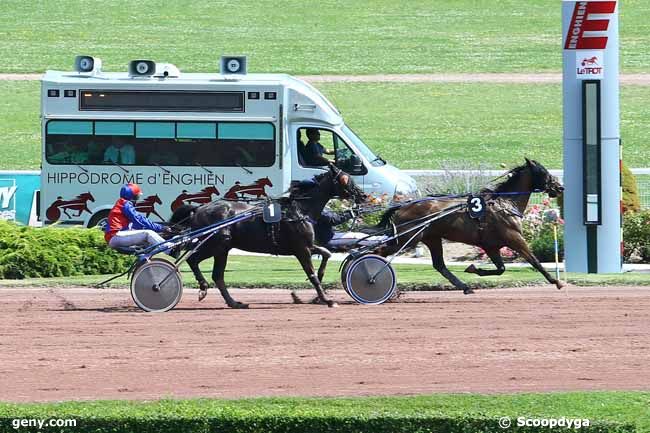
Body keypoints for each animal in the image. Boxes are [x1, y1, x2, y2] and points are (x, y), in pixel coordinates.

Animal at [170, 165, 368, 308]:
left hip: (222, 249)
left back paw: (234, 303)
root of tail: (198, 209)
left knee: (218, 275)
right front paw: (327, 300)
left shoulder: (305, 246)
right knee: (193, 260)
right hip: (215, 244)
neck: (300, 211)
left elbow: (326, 254)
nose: (363, 195)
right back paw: (203, 287)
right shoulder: (301, 249)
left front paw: (320, 288)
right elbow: (311, 274)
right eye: (346, 179)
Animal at [372, 159, 564, 294]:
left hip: (431, 238)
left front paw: (473, 268)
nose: (560, 187)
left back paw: (465, 287)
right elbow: (535, 261)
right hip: (407, 238)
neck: (505, 203)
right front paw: (557, 282)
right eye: (545, 172)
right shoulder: (514, 238)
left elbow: (501, 269)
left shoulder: (491, 246)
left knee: (439, 265)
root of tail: (402, 206)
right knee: (379, 251)